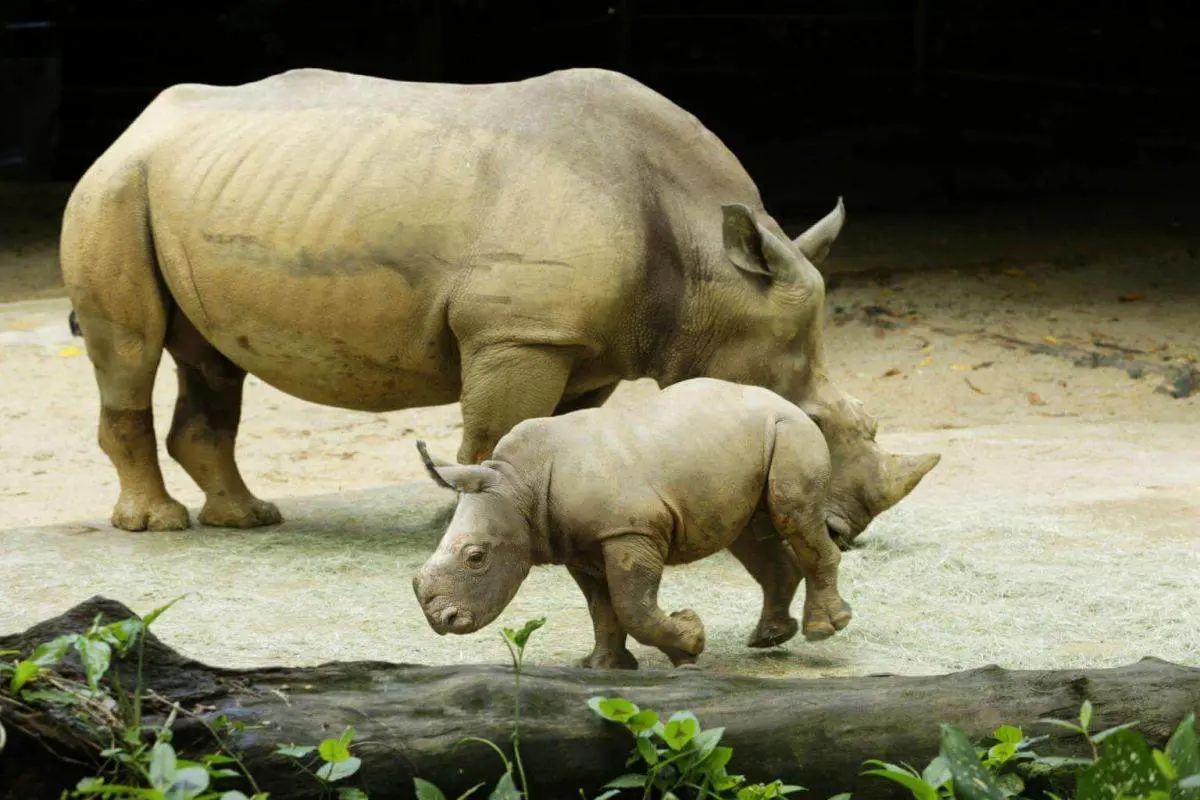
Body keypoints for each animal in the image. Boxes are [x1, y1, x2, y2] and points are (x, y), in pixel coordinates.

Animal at [62, 66, 874, 533]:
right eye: (811, 427)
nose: (845, 532)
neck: (712, 274)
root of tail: (137, 122)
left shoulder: (584, 344)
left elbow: (555, 435)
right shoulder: (521, 332)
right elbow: (497, 430)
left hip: (183, 182)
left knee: (210, 362)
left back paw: (249, 519)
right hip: (115, 186)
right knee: (130, 348)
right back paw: (159, 526)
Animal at [412, 378, 939, 669]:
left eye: (476, 557)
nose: (442, 622)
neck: (517, 484)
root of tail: (786, 401)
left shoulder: (631, 531)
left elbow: (633, 605)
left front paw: (689, 644)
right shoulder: (579, 545)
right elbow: (602, 608)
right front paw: (603, 666)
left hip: (790, 435)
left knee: (794, 519)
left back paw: (824, 629)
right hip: (747, 445)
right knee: (751, 535)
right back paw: (770, 637)